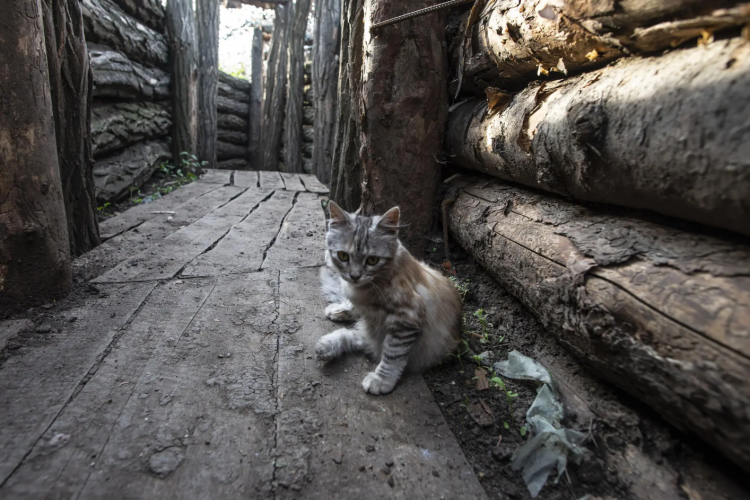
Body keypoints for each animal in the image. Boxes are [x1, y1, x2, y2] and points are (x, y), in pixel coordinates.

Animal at [314, 201, 462, 396]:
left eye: (372, 260)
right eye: (343, 256)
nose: (355, 276)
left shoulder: (406, 319)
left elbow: (392, 354)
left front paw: (382, 379)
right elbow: (352, 304)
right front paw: (341, 308)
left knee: (364, 341)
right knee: (355, 336)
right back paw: (327, 344)